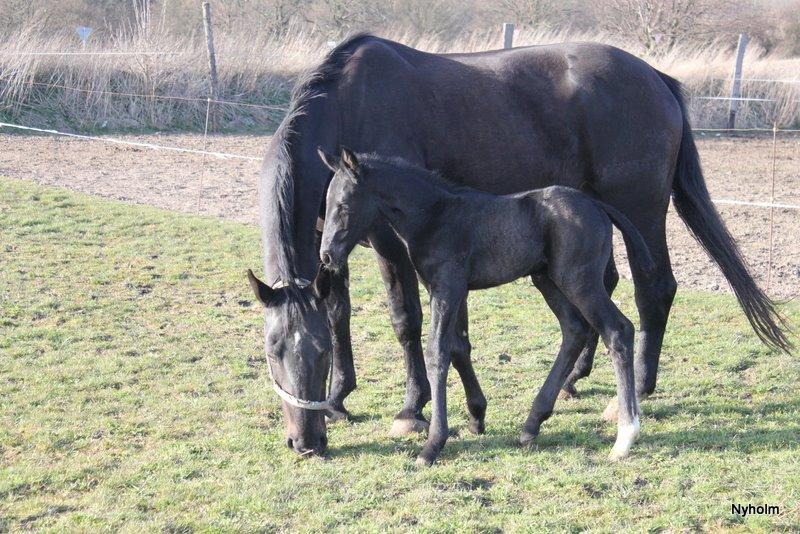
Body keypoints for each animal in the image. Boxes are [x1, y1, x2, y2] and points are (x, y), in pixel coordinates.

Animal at [316, 149, 652, 466]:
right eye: (327, 204)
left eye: (343, 206)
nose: (327, 256)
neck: (434, 216)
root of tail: (597, 206)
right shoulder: (446, 291)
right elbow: (456, 347)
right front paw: (475, 418)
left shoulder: (447, 288)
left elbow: (438, 353)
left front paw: (433, 445)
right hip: (547, 280)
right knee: (574, 330)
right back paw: (532, 424)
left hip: (580, 281)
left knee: (617, 329)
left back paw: (624, 437)